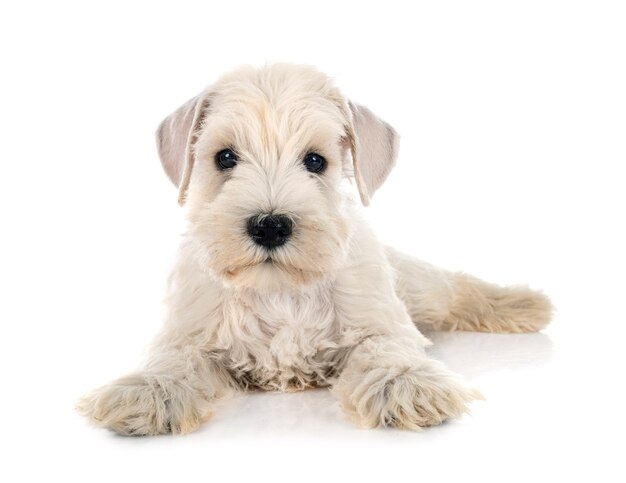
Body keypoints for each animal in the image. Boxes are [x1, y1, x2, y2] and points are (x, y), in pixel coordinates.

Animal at [78, 62, 552, 436]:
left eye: (315, 161)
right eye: (225, 157)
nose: (270, 226)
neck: (279, 290)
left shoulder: (380, 321)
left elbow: (386, 348)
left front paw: (405, 383)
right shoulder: (189, 330)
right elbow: (172, 359)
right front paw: (147, 391)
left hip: (420, 288)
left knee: (456, 288)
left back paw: (524, 304)